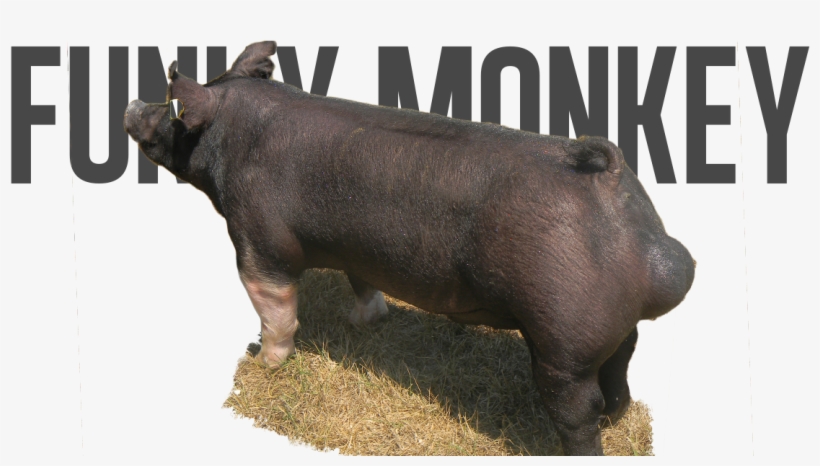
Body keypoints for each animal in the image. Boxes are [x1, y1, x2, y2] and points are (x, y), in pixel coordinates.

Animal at [123, 41, 694, 455]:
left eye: (174, 108)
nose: (131, 102)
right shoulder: (357, 248)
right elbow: (362, 283)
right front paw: (363, 324)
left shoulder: (257, 240)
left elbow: (276, 309)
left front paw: (263, 361)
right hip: (609, 331)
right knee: (621, 366)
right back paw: (619, 416)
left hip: (562, 342)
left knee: (578, 409)